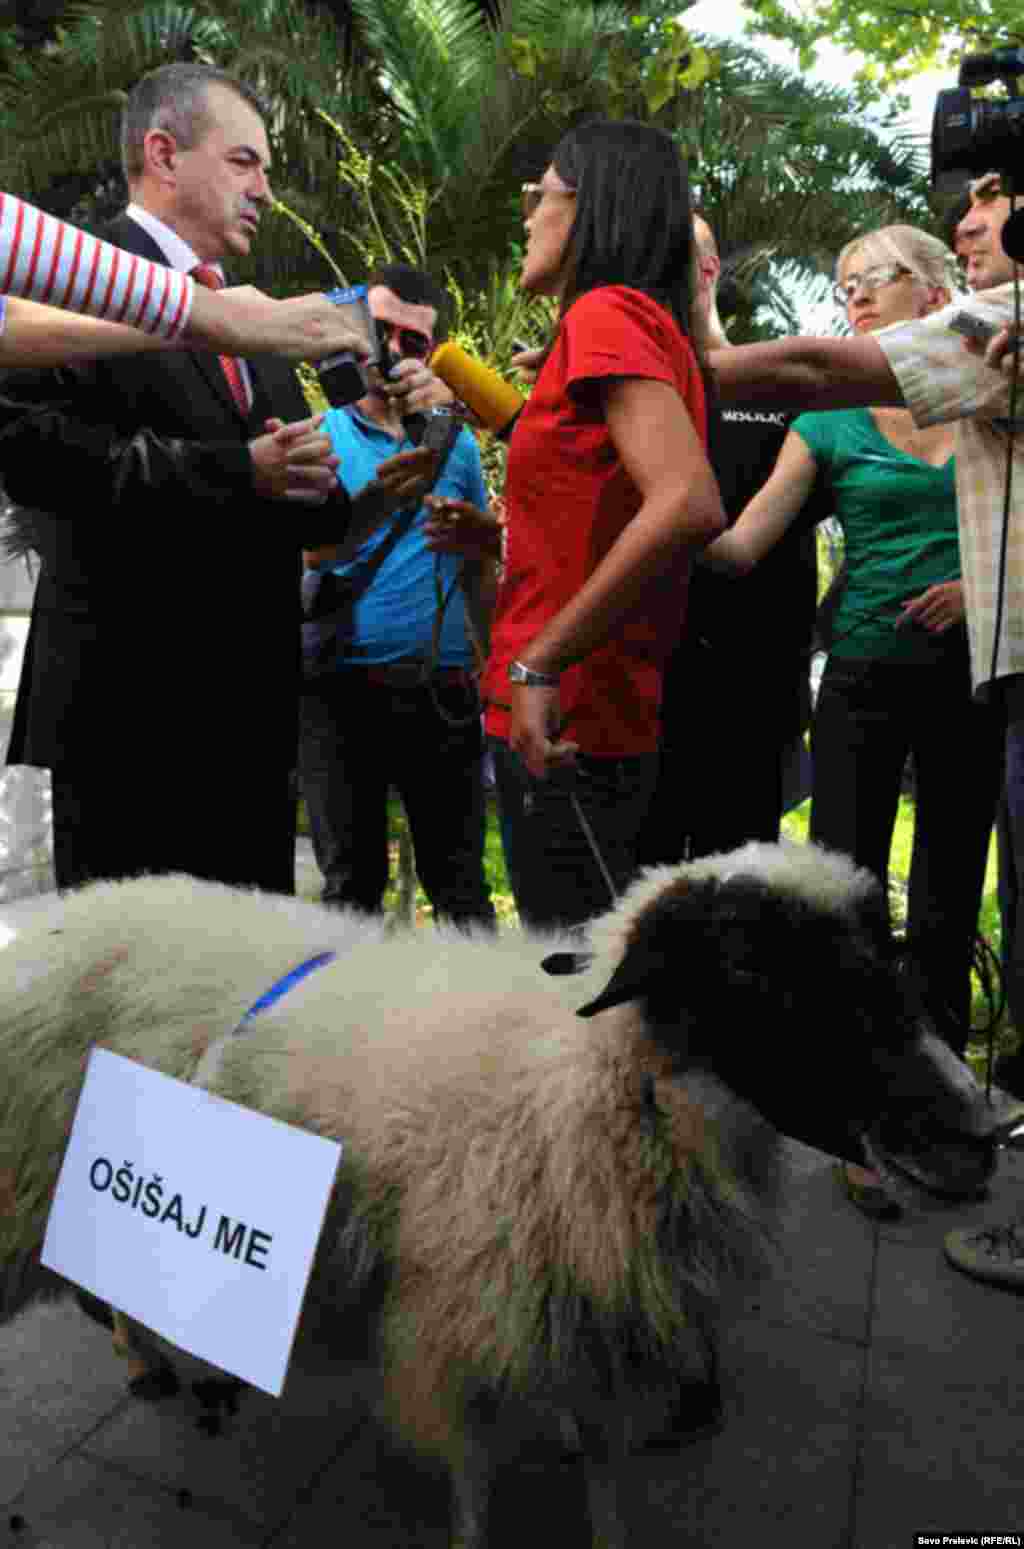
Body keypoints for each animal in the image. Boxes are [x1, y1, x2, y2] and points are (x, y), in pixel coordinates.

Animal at [1, 848, 1022, 1549]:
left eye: (885, 957)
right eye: (754, 973)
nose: (979, 1132)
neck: (581, 1076)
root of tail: (56, 907)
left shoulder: (590, 1306)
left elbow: (604, 1472)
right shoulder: (454, 1317)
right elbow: (477, 1488)